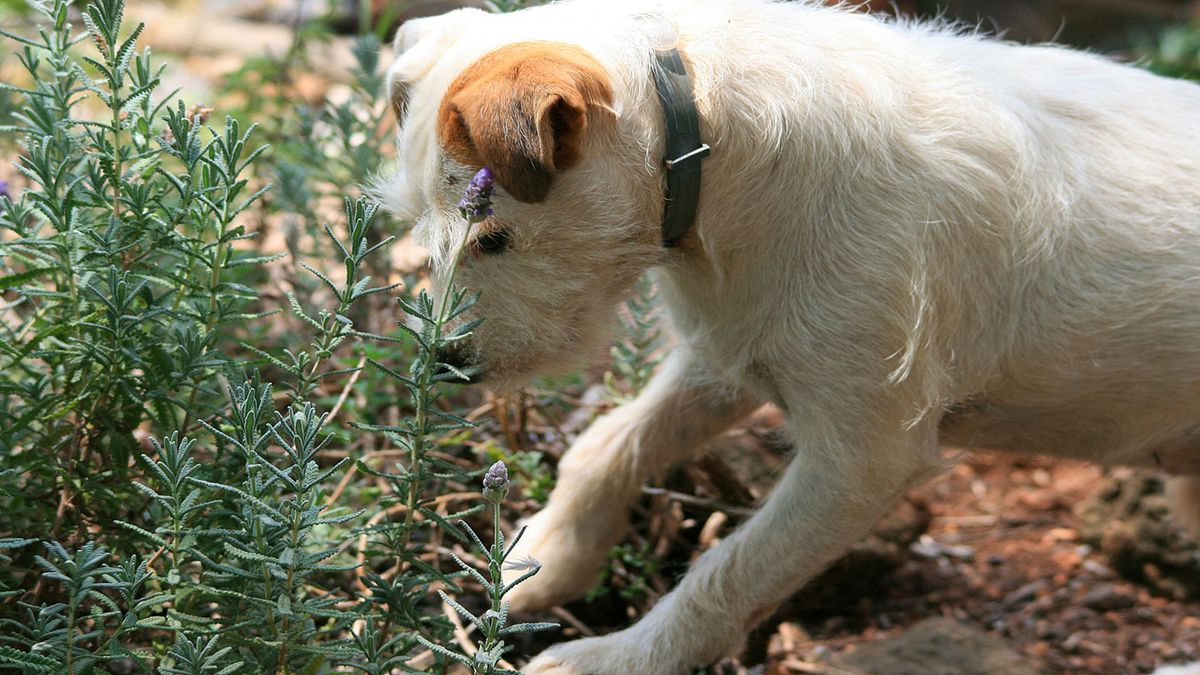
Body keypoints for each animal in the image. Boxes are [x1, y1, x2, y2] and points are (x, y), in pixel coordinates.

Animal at [379, 2, 1200, 667]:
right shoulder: (727, 356)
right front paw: (541, 560)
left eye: (492, 237)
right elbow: (605, 448)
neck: (709, 144)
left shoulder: (861, 461)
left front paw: (615, 658)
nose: (445, 365)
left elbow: (727, 571)